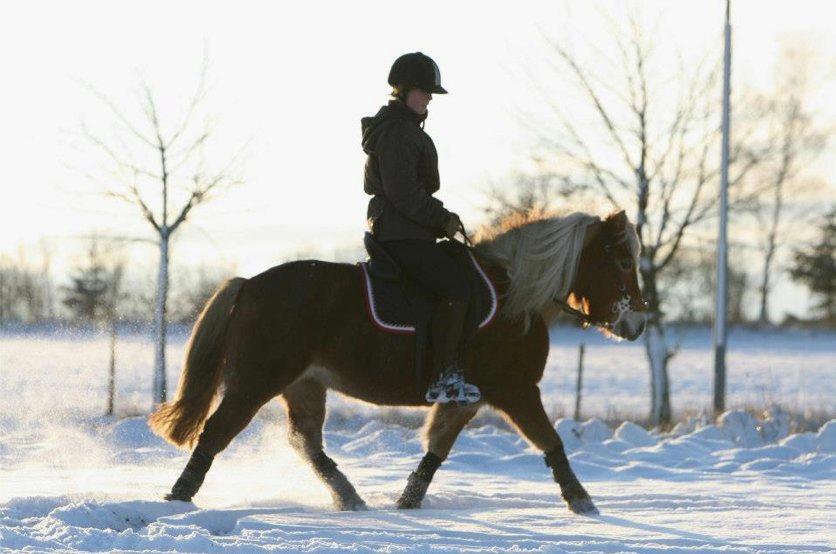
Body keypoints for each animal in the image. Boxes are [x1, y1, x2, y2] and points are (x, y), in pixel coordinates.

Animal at [149, 207, 648, 512]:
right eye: (624, 261)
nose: (638, 323)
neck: (515, 298)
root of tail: (249, 284)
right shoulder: (517, 390)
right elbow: (551, 442)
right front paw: (582, 501)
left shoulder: (469, 399)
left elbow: (437, 448)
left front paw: (408, 501)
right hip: (257, 381)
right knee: (216, 433)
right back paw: (179, 497)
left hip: (303, 384)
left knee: (304, 442)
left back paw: (349, 497)